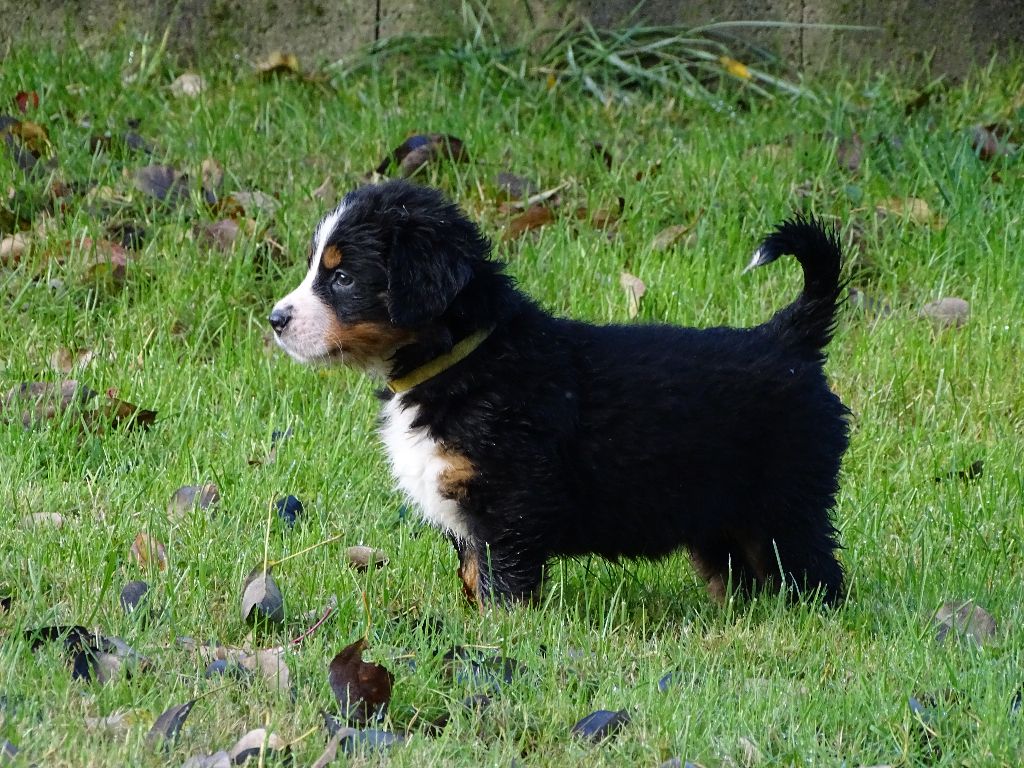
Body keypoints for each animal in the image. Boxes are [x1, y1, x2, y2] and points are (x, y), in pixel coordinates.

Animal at [269, 180, 850, 607]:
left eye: (342, 277)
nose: (275, 320)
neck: (465, 360)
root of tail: (785, 337)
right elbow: (472, 578)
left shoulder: (510, 504)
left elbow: (501, 584)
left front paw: (501, 634)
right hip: (719, 515)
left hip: (784, 501)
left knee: (814, 570)